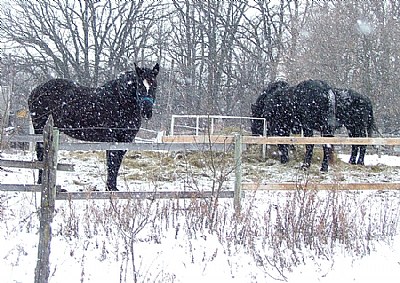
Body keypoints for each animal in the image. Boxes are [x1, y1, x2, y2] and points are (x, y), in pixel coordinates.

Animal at [28, 63, 159, 192]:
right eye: (140, 86)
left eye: (154, 86)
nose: (147, 112)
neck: (120, 102)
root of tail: (35, 91)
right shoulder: (111, 139)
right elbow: (112, 161)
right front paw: (109, 188)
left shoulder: (125, 140)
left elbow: (117, 162)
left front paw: (113, 187)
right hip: (40, 129)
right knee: (41, 152)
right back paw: (40, 182)